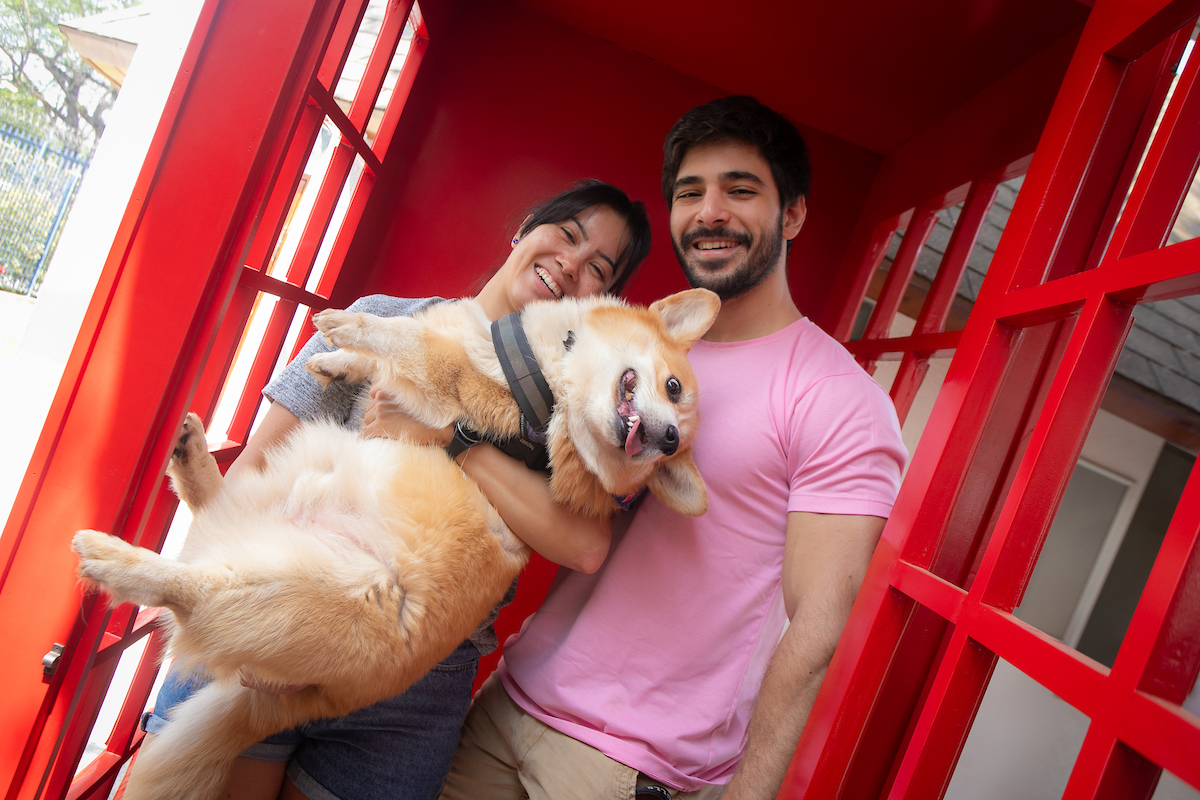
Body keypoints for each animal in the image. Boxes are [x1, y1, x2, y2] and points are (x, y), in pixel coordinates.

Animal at [75, 287, 720, 800]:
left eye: (676, 402)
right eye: (672, 386)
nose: (667, 439)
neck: (548, 374)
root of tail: (309, 703)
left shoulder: (453, 381)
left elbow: (409, 341)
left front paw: (345, 325)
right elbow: (379, 361)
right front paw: (335, 362)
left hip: (304, 591)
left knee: (193, 594)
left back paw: (116, 561)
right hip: (290, 471)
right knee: (213, 513)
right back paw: (190, 457)